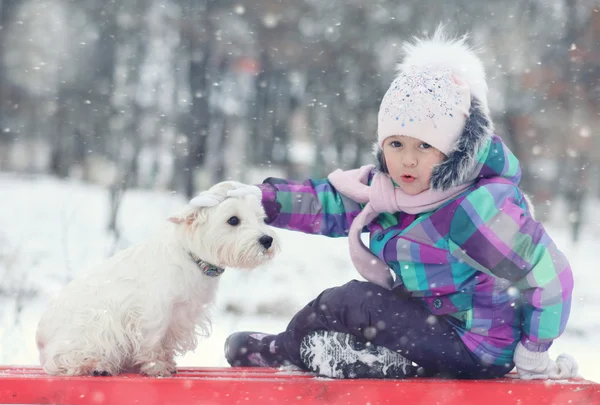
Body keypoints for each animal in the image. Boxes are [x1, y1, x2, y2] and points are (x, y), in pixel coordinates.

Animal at [37, 186, 278, 376]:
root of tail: (41, 338)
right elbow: (153, 339)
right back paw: (96, 365)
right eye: (233, 220)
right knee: (63, 360)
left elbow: (166, 342)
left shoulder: (180, 315)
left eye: (262, 218)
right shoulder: (154, 310)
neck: (193, 259)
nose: (267, 239)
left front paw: (166, 362)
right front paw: (156, 367)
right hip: (95, 325)